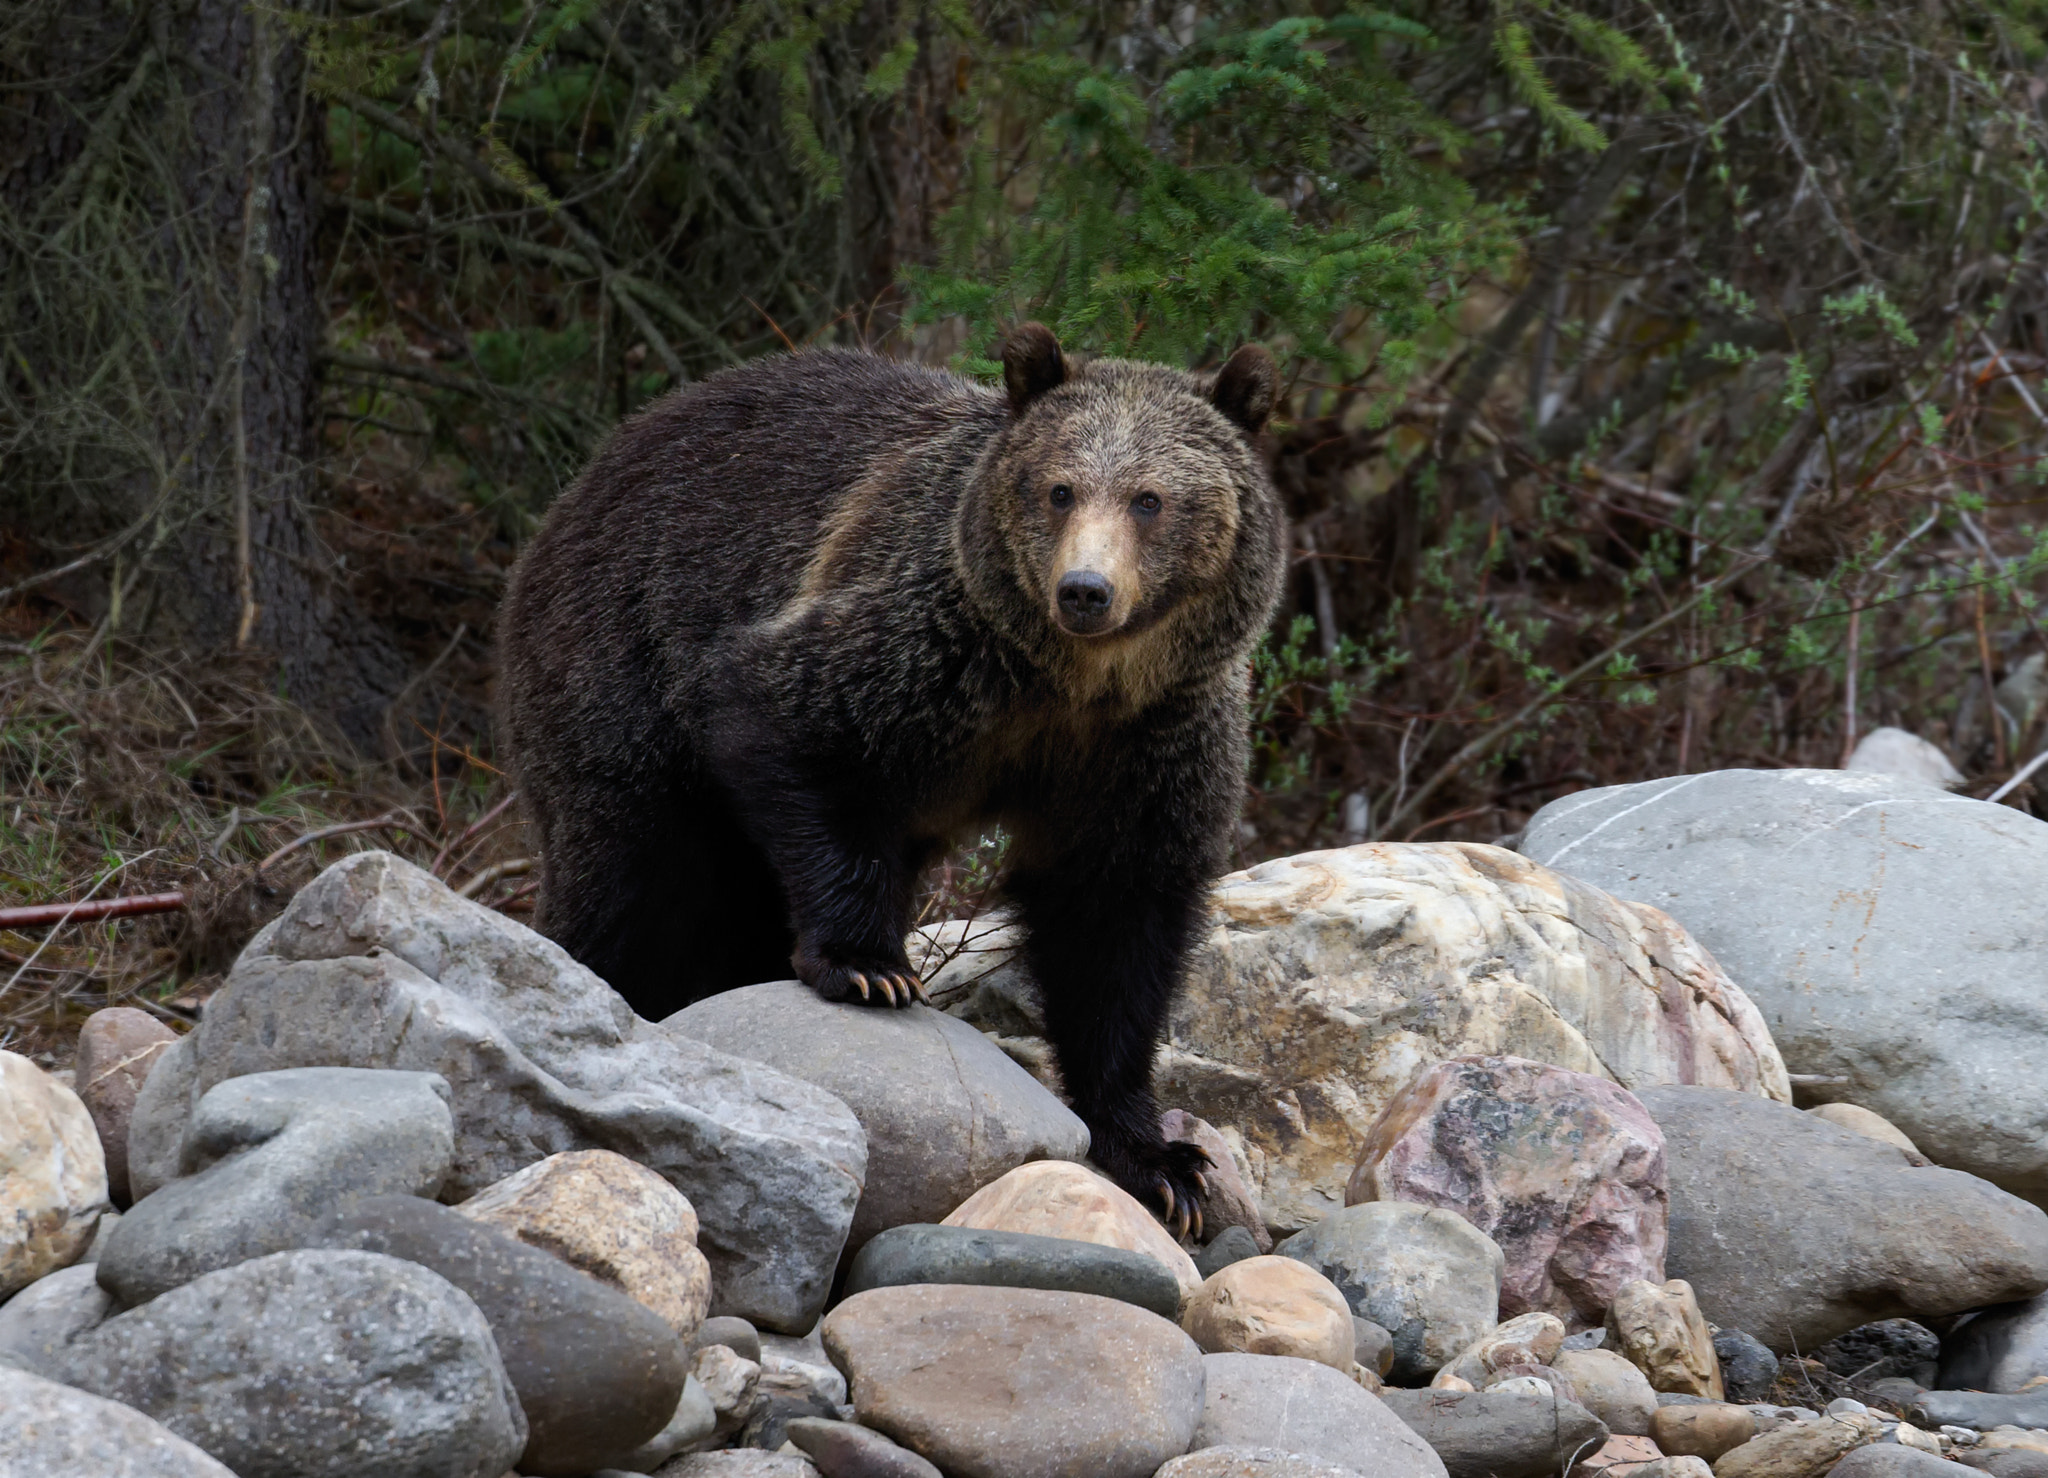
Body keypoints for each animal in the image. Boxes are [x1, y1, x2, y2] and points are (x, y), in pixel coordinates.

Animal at [498, 324, 1285, 1229]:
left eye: (1150, 499)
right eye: (1059, 488)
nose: (1084, 590)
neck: (1072, 685)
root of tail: (582, 481)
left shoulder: (1146, 748)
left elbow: (1116, 928)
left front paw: (1162, 1162)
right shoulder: (918, 649)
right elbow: (778, 721)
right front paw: (868, 963)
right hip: (615, 658)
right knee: (629, 876)